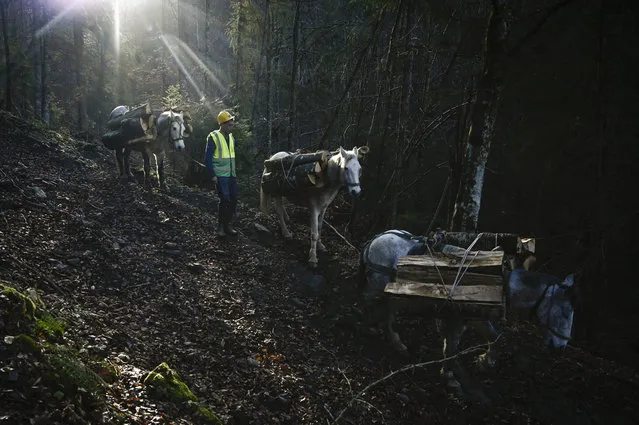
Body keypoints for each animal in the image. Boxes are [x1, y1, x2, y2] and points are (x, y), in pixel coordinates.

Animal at [360, 230, 580, 396]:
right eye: (566, 312)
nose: (560, 348)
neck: (502, 283)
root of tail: (377, 238)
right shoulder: (469, 317)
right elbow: (465, 344)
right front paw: (457, 375)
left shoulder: (468, 318)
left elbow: (479, 339)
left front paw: (477, 364)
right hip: (380, 286)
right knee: (376, 307)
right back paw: (385, 336)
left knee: (381, 309)